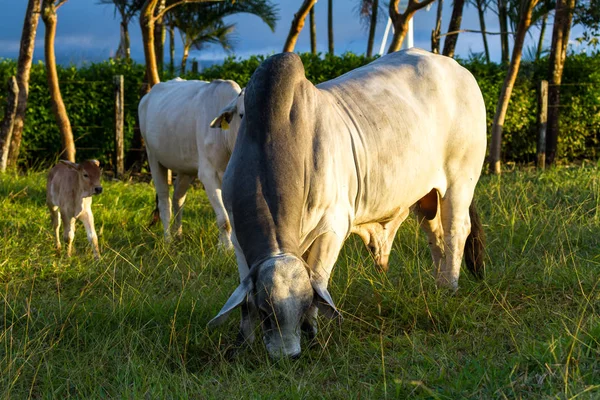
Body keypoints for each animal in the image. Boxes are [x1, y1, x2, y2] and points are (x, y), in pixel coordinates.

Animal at [138, 77, 244, 247]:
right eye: (241, 115)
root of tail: (147, 97)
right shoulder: (208, 174)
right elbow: (224, 220)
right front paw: (226, 248)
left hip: (185, 169)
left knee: (178, 199)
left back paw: (178, 234)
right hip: (153, 158)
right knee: (164, 202)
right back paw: (168, 239)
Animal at [210, 50, 488, 360]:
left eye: (304, 306)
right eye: (265, 311)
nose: (288, 356)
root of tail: (456, 67)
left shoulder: (332, 228)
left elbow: (318, 280)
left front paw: (313, 335)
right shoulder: (239, 241)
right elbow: (244, 300)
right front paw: (242, 344)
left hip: (459, 183)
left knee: (456, 232)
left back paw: (450, 286)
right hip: (427, 197)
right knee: (436, 236)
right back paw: (439, 287)